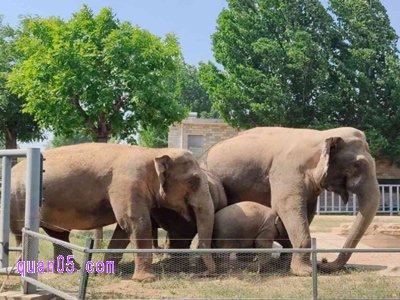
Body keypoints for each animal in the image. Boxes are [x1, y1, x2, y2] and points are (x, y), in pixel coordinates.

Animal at [10, 143, 216, 282]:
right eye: (194, 181)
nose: (204, 274)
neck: (152, 152)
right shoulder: (127, 183)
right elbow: (136, 222)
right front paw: (145, 280)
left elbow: (124, 229)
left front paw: (104, 273)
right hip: (18, 199)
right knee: (21, 234)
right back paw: (19, 271)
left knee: (59, 234)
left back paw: (73, 270)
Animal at [202, 126, 380, 274]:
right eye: (358, 164)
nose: (322, 261)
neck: (320, 135)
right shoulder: (287, 171)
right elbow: (286, 206)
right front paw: (305, 272)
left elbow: (307, 212)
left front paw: (285, 266)